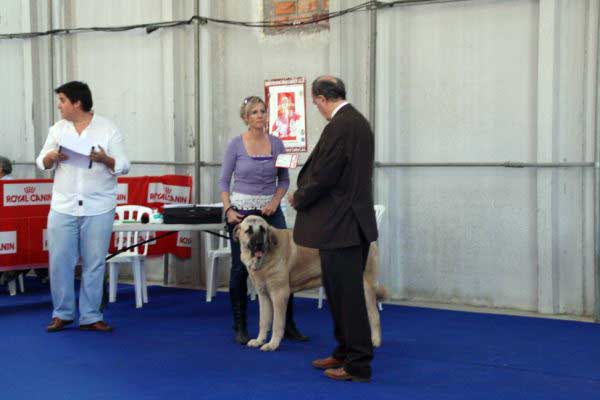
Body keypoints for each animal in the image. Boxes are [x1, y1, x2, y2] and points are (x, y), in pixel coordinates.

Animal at [232, 216, 386, 350]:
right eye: (249, 231)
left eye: (263, 230)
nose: (259, 244)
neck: (266, 255)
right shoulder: (264, 295)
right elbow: (263, 321)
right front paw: (259, 340)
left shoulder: (279, 294)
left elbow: (277, 323)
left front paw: (273, 344)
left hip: (366, 287)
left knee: (374, 315)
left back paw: (375, 340)